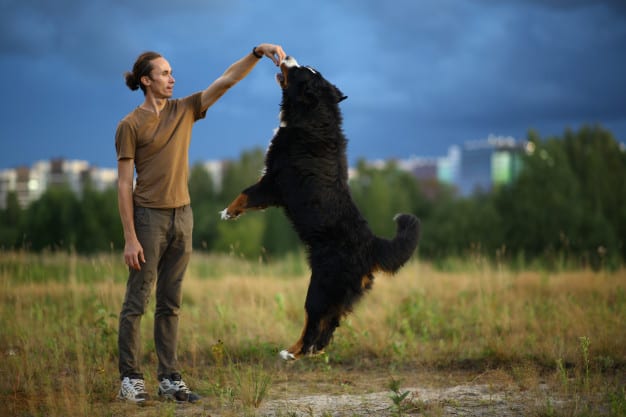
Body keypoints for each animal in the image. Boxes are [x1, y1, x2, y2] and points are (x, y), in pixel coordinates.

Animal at [219, 57, 420, 360]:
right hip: (339, 295)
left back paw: (292, 352)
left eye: (299, 71)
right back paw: (308, 352)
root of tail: (371, 245)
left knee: (314, 322)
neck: (313, 117)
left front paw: (228, 212)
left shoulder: (275, 182)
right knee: (328, 328)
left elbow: (246, 193)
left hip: (321, 287)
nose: (287, 57)